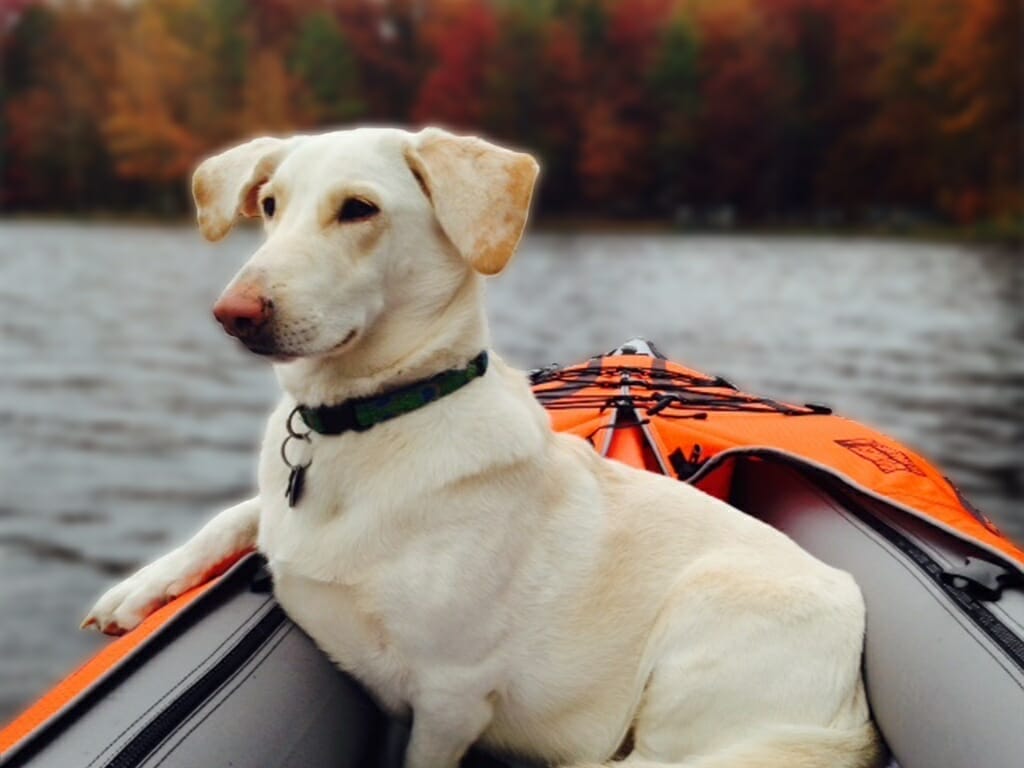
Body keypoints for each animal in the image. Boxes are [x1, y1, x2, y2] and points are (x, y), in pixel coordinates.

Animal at [81, 128, 880, 768]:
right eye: (270, 205)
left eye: (359, 209)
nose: (232, 314)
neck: (369, 423)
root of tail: (854, 713)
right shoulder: (283, 511)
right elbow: (233, 516)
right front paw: (140, 588)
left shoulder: (452, 697)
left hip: (705, 624)